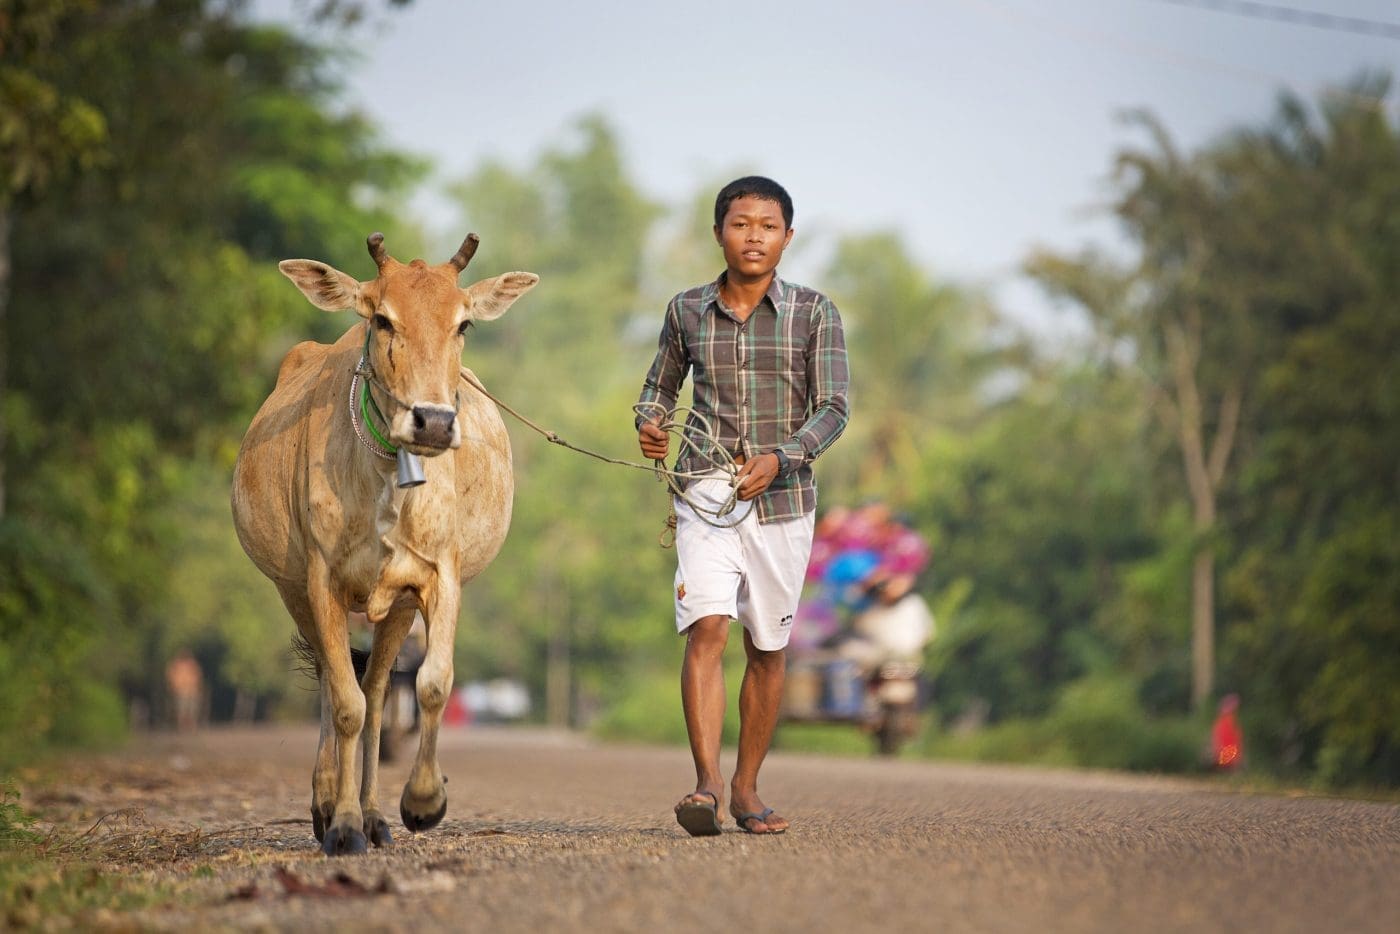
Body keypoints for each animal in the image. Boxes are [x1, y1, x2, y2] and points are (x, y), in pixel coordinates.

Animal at [232, 232, 537, 856]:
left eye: (463, 324)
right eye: (382, 318)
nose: (434, 422)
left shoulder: (436, 577)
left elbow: (430, 685)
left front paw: (420, 802)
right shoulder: (320, 580)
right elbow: (344, 704)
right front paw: (342, 822)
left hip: (395, 607)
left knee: (375, 691)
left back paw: (374, 814)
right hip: (291, 589)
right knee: (336, 685)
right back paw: (329, 803)